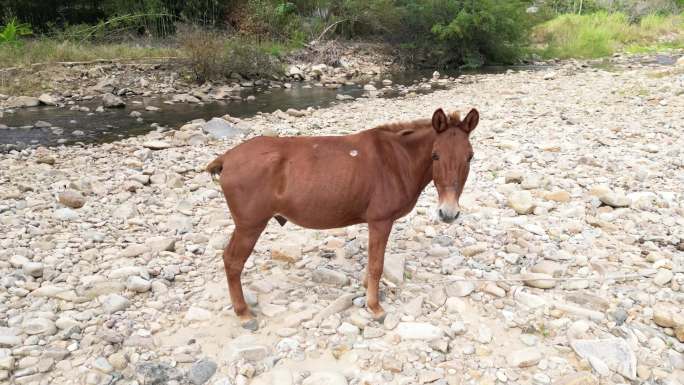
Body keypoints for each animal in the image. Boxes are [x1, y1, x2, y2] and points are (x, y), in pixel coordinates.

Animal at [206, 107, 478, 328]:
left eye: (470, 156)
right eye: (435, 155)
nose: (448, 212)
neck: (396, 159)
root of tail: (227, 158)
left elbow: (372, 264)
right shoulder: (380, 221)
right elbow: (376, 266)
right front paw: (374, 306)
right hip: (249, 226)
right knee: (232, 262)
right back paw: (243, 313)